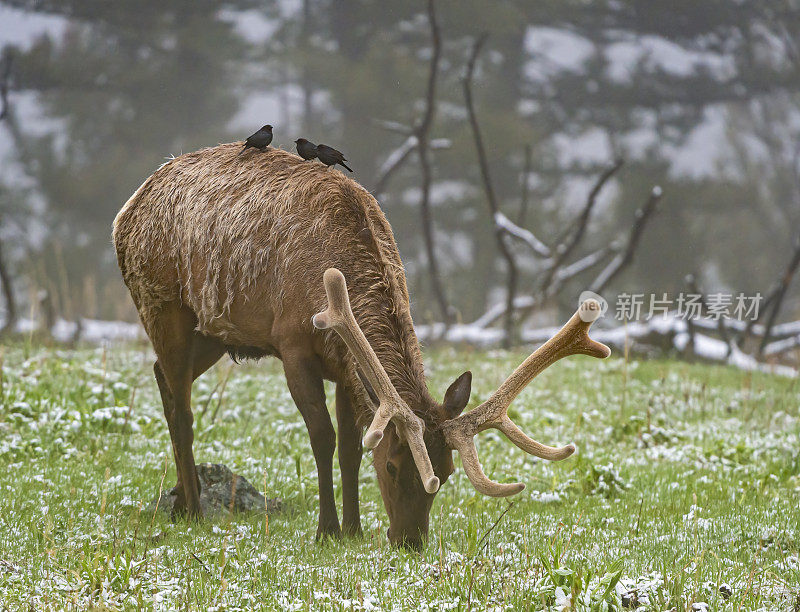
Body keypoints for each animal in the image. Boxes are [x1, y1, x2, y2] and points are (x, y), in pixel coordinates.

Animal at [112, 143, 608, 548]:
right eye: (391, 466)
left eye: (446, 473)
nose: (410, 540)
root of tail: (128, 207)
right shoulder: (293, 345)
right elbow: (323, 437)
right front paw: (327, 529)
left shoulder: (346, 365)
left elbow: (351, 445)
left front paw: (352, 528)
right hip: (161, 303)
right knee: (182, 407)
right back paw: (195, 509)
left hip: (215, 331)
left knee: (162, 378)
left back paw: (180, 500)